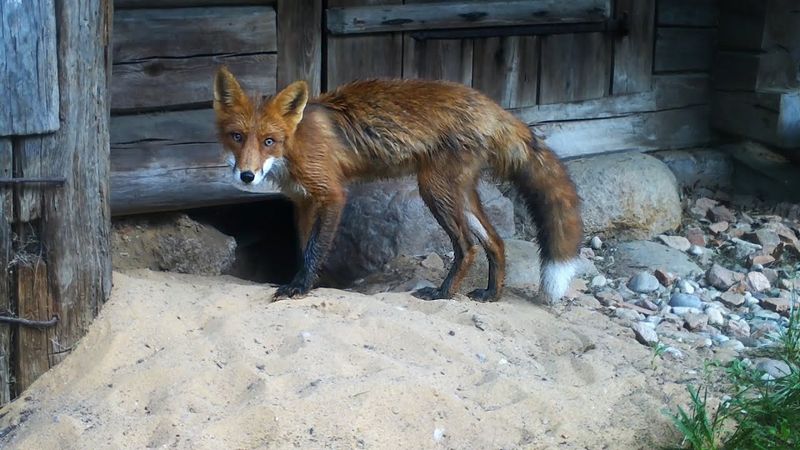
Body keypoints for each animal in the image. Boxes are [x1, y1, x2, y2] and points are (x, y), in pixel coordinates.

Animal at [212, 67, 580, 304]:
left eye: (269, 141)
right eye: (237, 137)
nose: (247, 176)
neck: (296, 144)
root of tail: (490, 105)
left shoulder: (331, 194)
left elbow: (315, 248)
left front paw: (300, 287)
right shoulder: (303, 202)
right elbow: (304, 248)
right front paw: (308, 282)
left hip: (433, 190)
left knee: (467, 247)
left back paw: (444, 293)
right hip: (459, 194)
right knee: (495, 242)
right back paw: (492, 294)